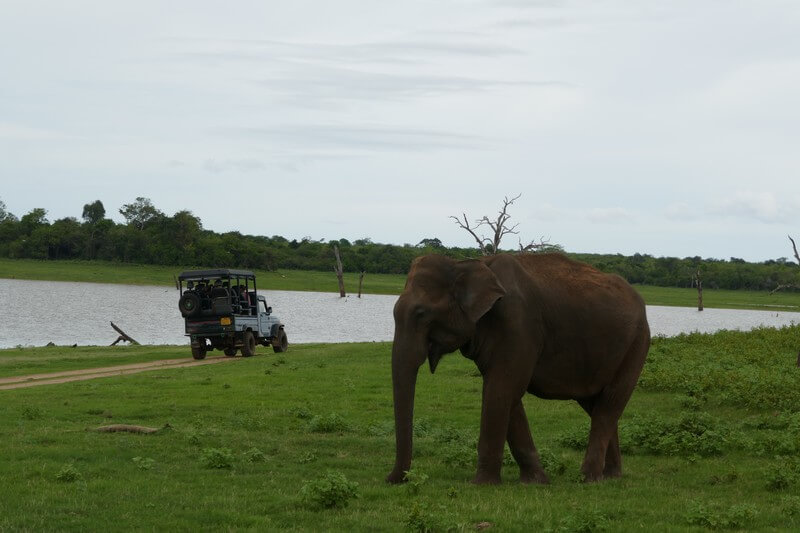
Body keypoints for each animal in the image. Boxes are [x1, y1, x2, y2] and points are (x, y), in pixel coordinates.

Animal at [386, 253, 650, 485]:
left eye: (421, 313)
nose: (393, 479)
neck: (467, 263)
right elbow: (506, 395)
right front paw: (536, 482)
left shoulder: (518, 324)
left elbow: (501, 389)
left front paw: (481, 484)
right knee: (596, 404)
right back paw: (610, 476)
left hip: (637, 344)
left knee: (609, 404)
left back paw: (588, 479)